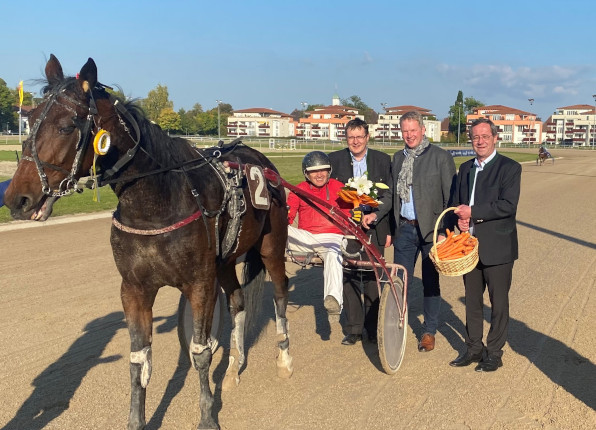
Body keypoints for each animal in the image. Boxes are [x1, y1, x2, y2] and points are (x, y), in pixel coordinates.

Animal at [4, 54, 294, 430]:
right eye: (31, 118)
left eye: (67, 125)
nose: (16, 198)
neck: (156, 203)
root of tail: (258, 158)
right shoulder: (134, 288)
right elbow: (138, 360)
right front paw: (136, 420)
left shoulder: (200, 284)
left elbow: (200, 353)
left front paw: (207, 416)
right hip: (225, 262)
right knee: (238, 302)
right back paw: (232, 370)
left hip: (272, 247)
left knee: (280, 294)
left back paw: (284, 360)